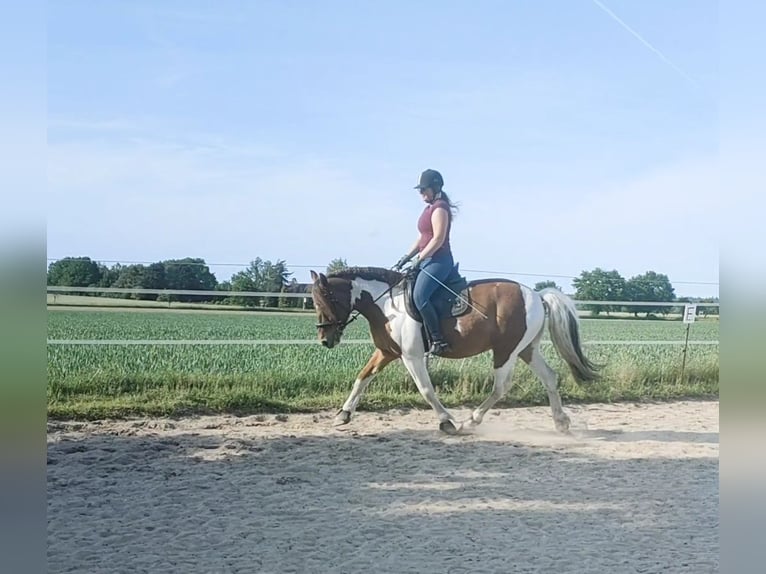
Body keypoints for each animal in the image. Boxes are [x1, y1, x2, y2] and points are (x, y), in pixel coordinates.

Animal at [308, 266, 604, 436]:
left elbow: (426, 390)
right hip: (526, 350)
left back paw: (471, 421)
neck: (389, 305)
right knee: (550, 378)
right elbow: (362, 378)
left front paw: (447, 422)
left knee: (501, 387)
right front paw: (343, 415)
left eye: (324, 300)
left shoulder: (412, 356)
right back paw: (561, 422)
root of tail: (538, 295)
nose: (325, 340)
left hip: (506, 351)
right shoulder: (386, 352)